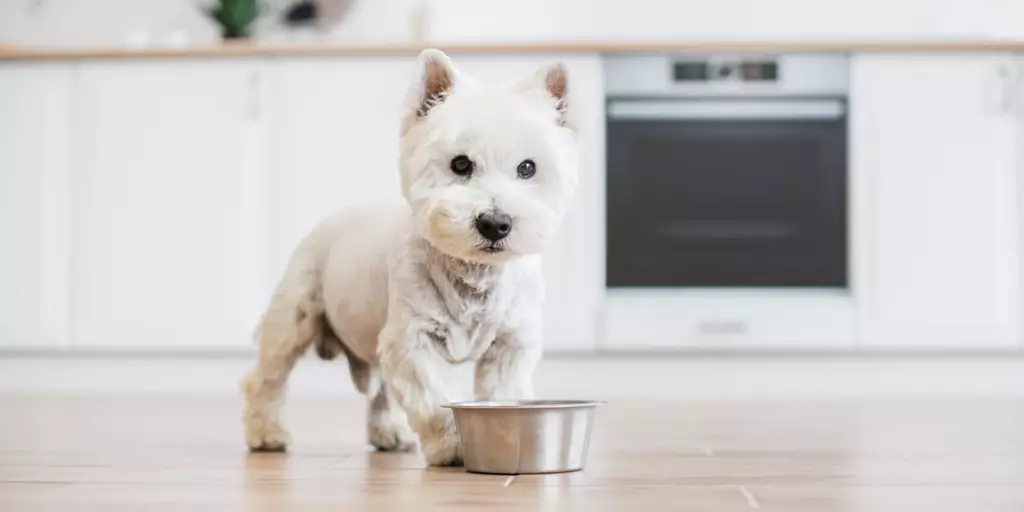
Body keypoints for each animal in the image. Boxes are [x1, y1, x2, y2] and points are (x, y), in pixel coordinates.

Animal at [237, 48, 577, 468]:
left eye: (527, 168)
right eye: (461, 163)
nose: (495, 224)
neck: (473, 275)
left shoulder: (510, 341)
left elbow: (502, 390)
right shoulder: (411, 337)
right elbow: (432, 398)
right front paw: (452, 447)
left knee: (381, 388)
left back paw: (389, 433)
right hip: (296, 311)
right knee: (267, 375)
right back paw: (265, 433)